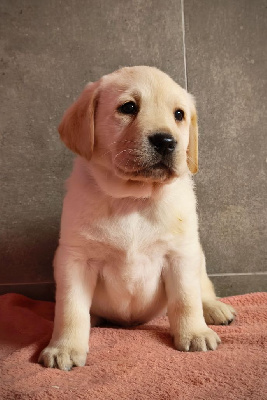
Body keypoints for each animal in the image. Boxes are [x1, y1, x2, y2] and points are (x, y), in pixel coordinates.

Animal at [38, 65, 236, 368]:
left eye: (179, 114)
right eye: (128, 107)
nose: (166, 141)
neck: (134, 199)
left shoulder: (180, 255)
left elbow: (186, 300)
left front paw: (194, 333)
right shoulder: (74, 259)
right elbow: (71, 309)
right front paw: (65, 348)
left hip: (198, 256)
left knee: (203, 289)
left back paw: (214, 310)